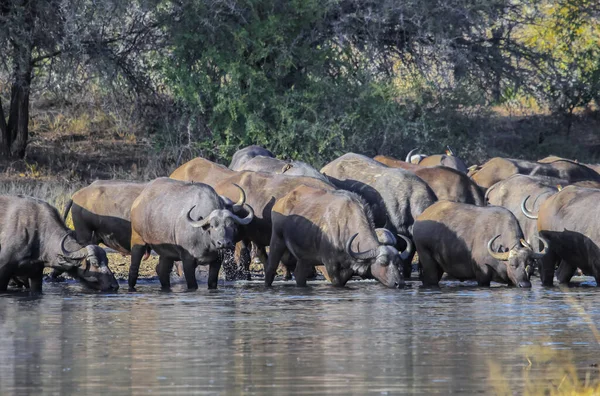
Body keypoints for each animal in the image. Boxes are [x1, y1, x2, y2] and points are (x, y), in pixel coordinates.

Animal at [268, 186, 412, 288]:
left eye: (398, 263)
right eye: (383, 263)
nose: (399, 284)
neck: (345, 227)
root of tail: (280, 201)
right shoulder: (330, 264)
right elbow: (336, 282)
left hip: (305, 258)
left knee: (299, 275)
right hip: (277, 239)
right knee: (271, 268)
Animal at [412, 203, 548, 286]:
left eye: (530, 265)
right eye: (512, 264)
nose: (525, 284)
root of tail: (420, 218)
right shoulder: (482, 274)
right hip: (427, 260)